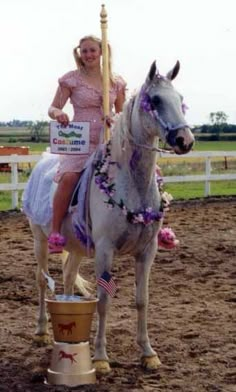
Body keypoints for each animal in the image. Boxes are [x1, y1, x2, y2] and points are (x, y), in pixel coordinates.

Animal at [23, 61, 194, 374]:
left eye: (180, 99)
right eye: (155, 100)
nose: (184, 140)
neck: (130, 185)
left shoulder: (147, 251)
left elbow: (142, 300)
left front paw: (148, 353)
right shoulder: (105, 250)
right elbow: (103, 301)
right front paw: (101, 358)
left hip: (76, 247)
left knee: (68, 278)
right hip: (40, 240)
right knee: (42, 280)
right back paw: (42, 332)